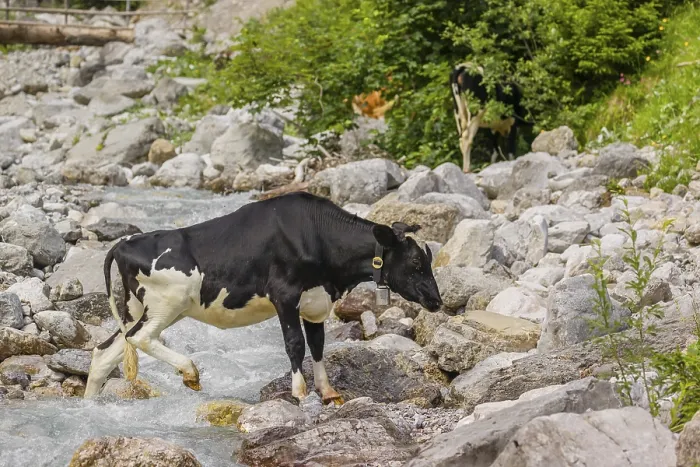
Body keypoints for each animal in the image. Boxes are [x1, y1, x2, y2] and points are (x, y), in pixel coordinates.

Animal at [84, 191, 443, 404]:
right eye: (416, 262)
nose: (437, 301)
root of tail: (125, 242)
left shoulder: (315, 301)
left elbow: (318, 345)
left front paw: (328, 392)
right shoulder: (284, 294)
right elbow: (295, 344)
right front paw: (300, 394)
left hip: (137, 307)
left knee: (107, 351)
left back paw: (90, 403)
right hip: (167, 304)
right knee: (140, 337)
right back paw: (191, 372)